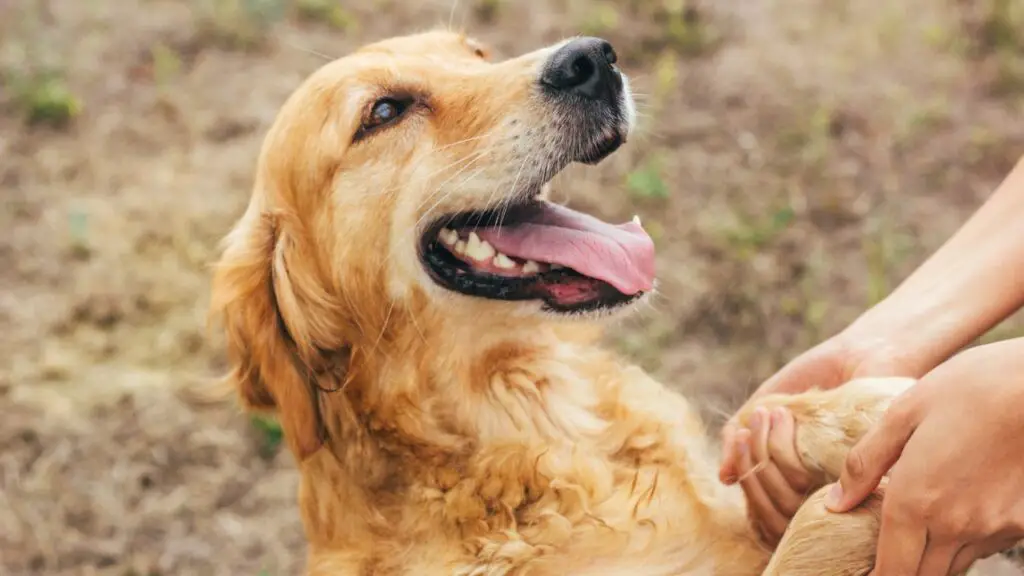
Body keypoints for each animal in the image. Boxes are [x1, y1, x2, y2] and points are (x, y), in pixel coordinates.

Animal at [205, 32, 1007, 573]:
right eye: (384, 111)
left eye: (476, 53)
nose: (590, 59)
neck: (536, 412)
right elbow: (818, 525)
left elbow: (755, 423)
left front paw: (862, 411)